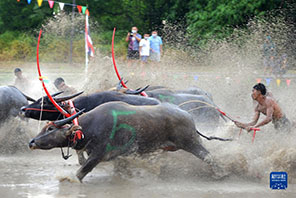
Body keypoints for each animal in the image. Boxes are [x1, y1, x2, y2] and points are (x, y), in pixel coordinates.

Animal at [28, 102, 228, 183]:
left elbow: (81, 171)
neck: (89, 128)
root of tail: (188, 115)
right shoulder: (119, 156)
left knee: (208, 156)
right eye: (45, 126)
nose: (32, 141)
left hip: (191, 143)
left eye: (50, 129)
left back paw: (221, 174)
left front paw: (69, 179)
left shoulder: (98, 155)